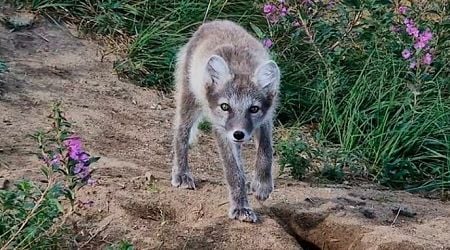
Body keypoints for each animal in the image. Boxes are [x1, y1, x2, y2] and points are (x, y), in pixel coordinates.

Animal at [171, 20, 280, 223]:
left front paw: (262, 184)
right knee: (181, 133)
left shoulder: (266, 119)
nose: (238, 133)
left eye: (254, 109)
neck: (241, 66)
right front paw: (241, 207)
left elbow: (266, 151)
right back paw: (181, 173)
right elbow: (233, 172)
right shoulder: (221, 130)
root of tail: (214, 22)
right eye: (224, 107)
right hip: (190, 101)